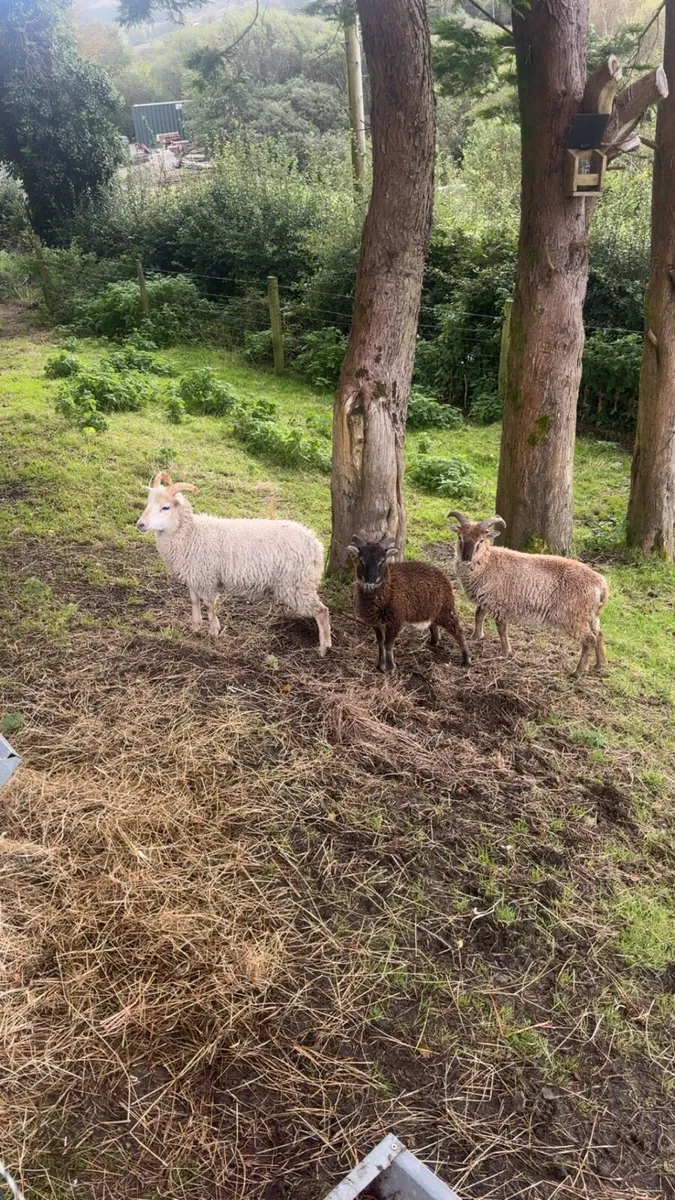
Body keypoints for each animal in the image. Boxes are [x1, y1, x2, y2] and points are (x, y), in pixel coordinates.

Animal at [136, 472, 332, 655]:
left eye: (165, 507)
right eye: (148, 502)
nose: (140, 525)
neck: (190, 533)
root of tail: (315, 544)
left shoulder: (207, 578)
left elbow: (209, 605)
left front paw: (213, 630)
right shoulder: (195, 576)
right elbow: (194, 601)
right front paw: (196, 625)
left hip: (297, 583)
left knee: (322, 611)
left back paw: (324, 648)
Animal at [348, 535, 471, 673]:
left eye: (382, 561)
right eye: (361, 560)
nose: (371, 577)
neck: (388, 588)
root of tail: (442, 574)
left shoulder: (395, 621)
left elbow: (388, 645)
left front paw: (391, 668)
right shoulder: (376, 623)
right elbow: (380, 643)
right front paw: (380, 665)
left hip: (445, 609)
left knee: (457, 629)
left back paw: (466, 659)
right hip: (431, 610)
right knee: (434, 624)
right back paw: (434, 642)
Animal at [448, 511, 609, 677]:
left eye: (480, 541)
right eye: (460, 537)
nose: (466, 557)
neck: (488, 563)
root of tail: (600, 584)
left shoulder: (499, 602)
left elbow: (501, 627)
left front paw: (505, 651)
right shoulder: (487, 599)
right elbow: (478, 615)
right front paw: (476, 636)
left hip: (572, 615)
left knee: (589, 639)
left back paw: (578, 671)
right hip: (591, 615)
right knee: (599, 635)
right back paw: (600, 664)